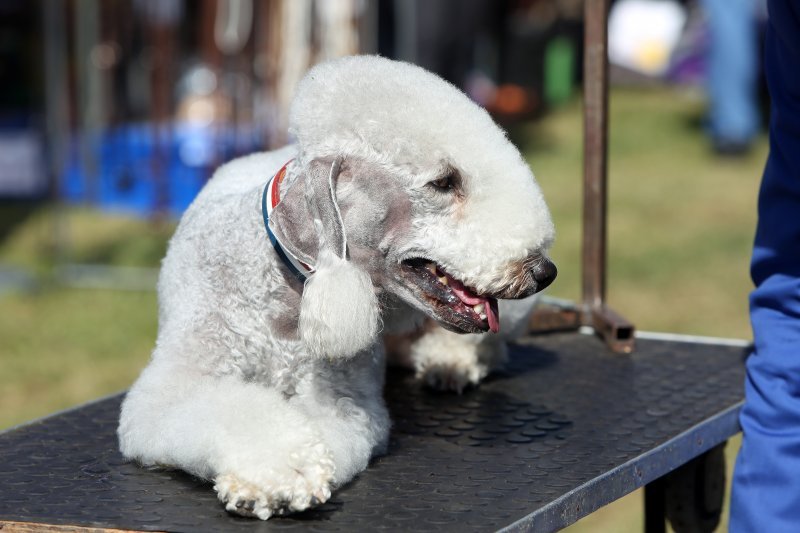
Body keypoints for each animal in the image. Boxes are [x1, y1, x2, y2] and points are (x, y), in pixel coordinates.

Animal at [119, 56, 556, 516]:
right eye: (444, 181)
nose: (544, 271)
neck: (283, 293)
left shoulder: (341, 397)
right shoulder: (173, 384)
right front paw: (279, 474)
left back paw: (449, 361)